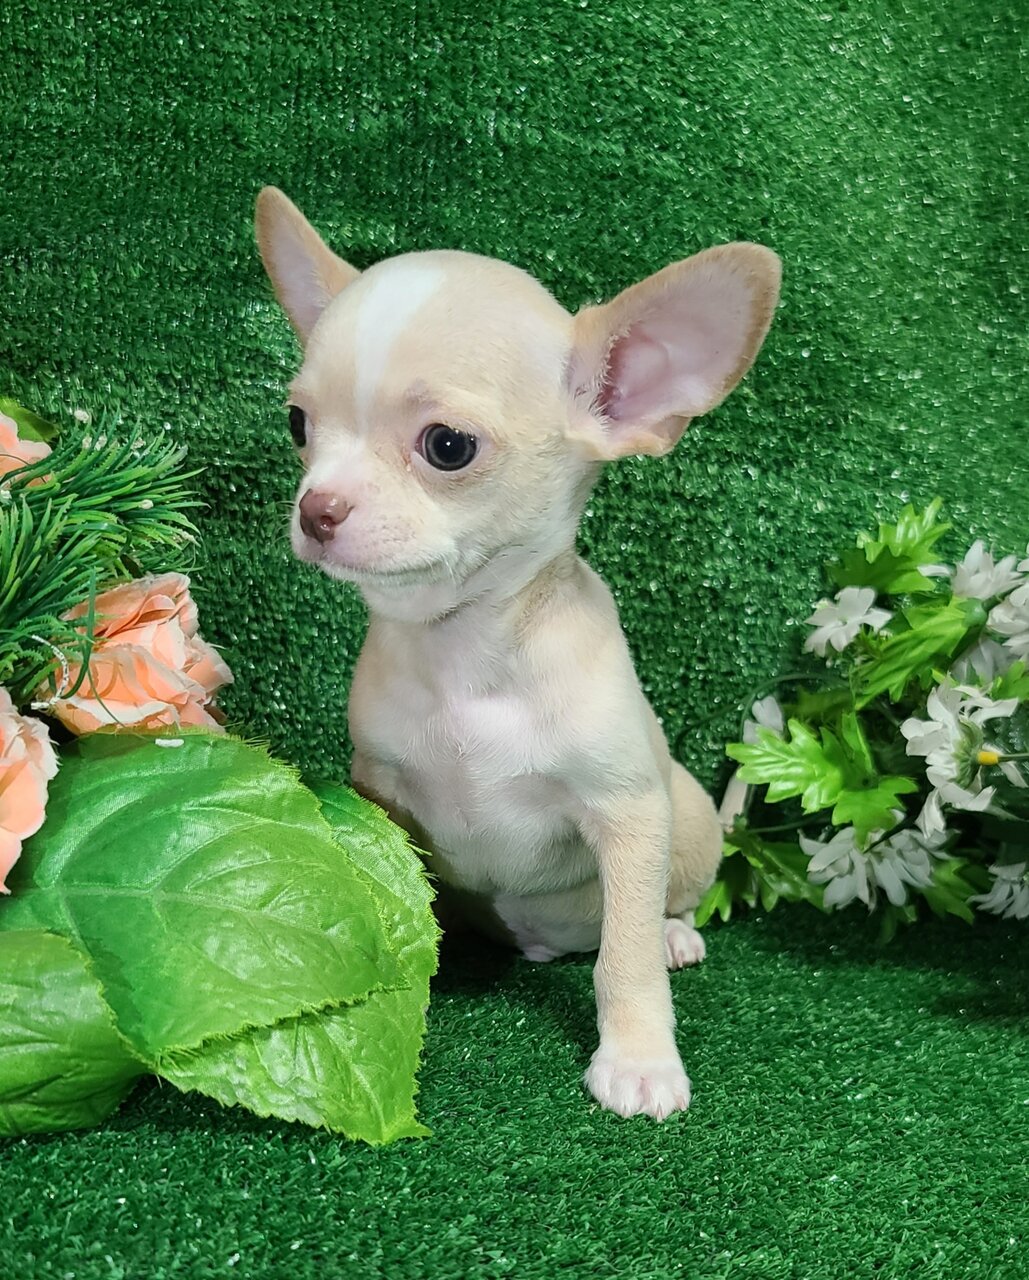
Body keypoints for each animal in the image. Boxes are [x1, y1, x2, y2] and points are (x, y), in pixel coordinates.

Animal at [255, 187, 780, 1119]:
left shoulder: (626, 813)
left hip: (682, 820)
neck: (466, 656)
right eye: (298, 425)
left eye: (447, 446)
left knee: (660, 913)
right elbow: (395, 885)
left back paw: (674, 935)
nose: (317, 509)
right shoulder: (380, 789)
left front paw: (639, 1057)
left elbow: (621, 959)